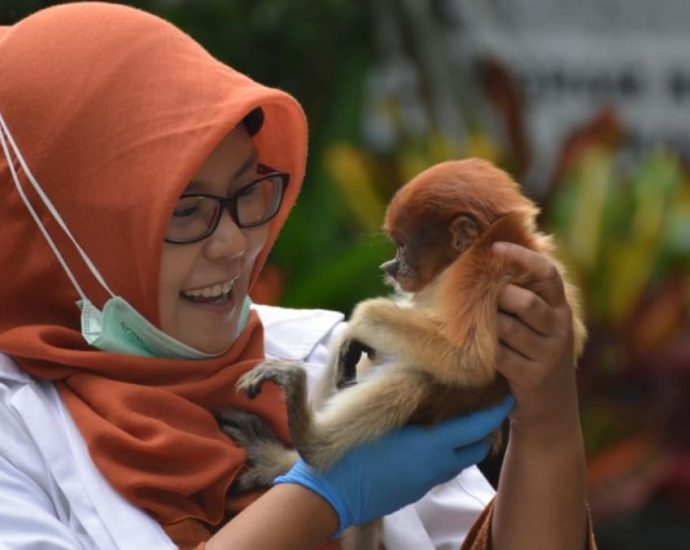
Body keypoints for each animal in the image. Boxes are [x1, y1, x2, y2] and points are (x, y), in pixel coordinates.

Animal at [222, 157, 584, 548]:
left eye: (402, 246)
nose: (388, 267)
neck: (494, 237)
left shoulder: (483, 272)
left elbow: (467, 359)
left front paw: (362, 320)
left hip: (437, 405)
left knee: (410, 380)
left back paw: (309, 442)